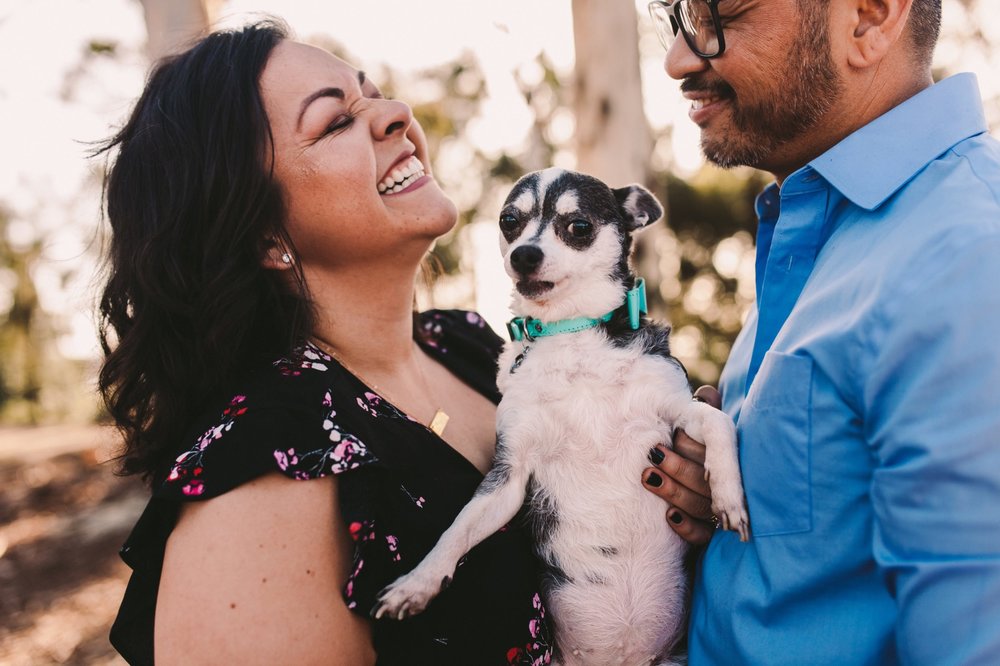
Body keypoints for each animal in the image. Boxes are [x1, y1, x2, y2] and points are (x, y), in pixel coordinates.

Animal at [376, 169, 752, 660]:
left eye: (579, 226)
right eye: (509, 221)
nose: (524, 254)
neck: (572, 332)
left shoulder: (679, 412)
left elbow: (718, 422)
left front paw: (729, 498)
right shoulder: (509, 477)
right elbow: (458, 530)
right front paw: (417, 583)